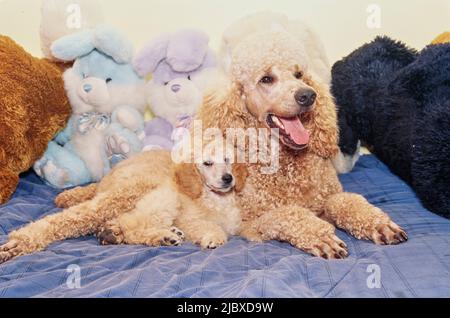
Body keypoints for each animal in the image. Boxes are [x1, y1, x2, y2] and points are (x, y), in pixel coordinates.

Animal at [0, 142, 246, 264]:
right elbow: (207, 226)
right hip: (133, 191)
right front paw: (212, 237)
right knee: (72, 219)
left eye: (228, 160)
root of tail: (106, 177)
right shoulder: (191, 214)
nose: (228, 178)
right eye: (207, 163)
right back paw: (20, 242)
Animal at [197, 28, 408, 260]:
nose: (308, 95)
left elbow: (344, 201)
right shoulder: (251, 222)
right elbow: (289, 214)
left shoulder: (326, 199)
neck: (287, 162)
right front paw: (320, 236)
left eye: (298, 75)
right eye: (266, 79)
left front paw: (376, 222)